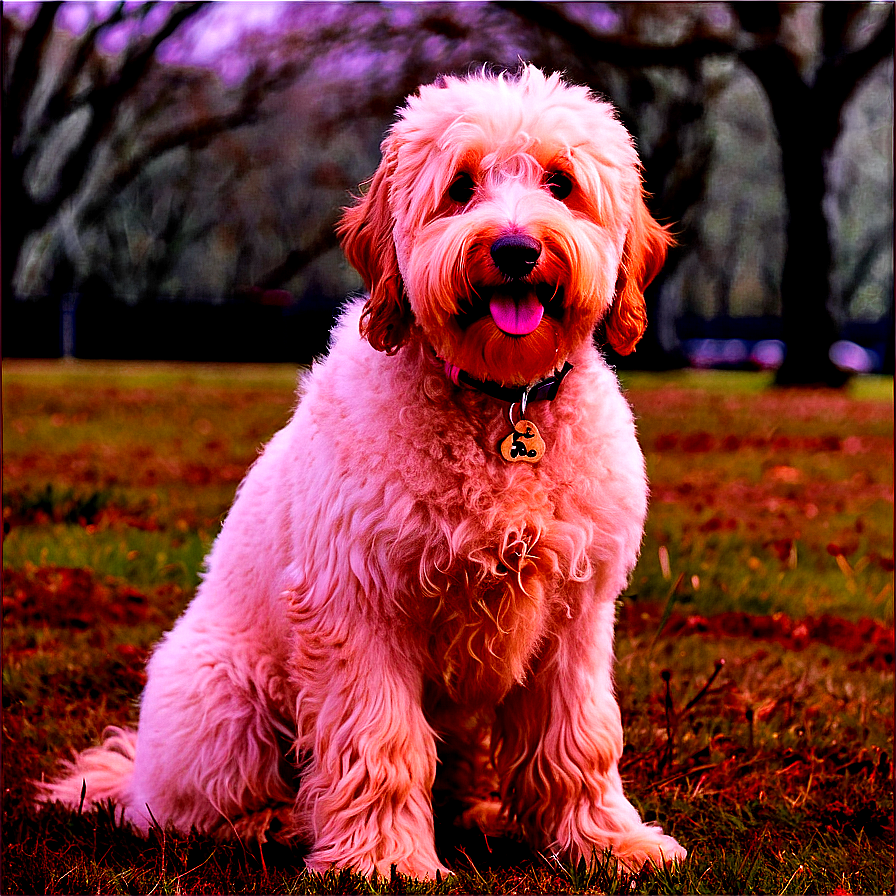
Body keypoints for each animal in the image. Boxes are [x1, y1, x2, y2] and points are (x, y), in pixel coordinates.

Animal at [38, 66, 688, 880]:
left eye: (561, 183)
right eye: (460, 187)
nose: (515, 249)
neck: (499, 403)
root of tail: (135, 774)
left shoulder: (574, 616)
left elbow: (579, 740)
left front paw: (606, 841)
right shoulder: (359, 606)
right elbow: (381, 743)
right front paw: (383, 862)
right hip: (226, 697)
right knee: (180, 813)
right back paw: (269, 824)